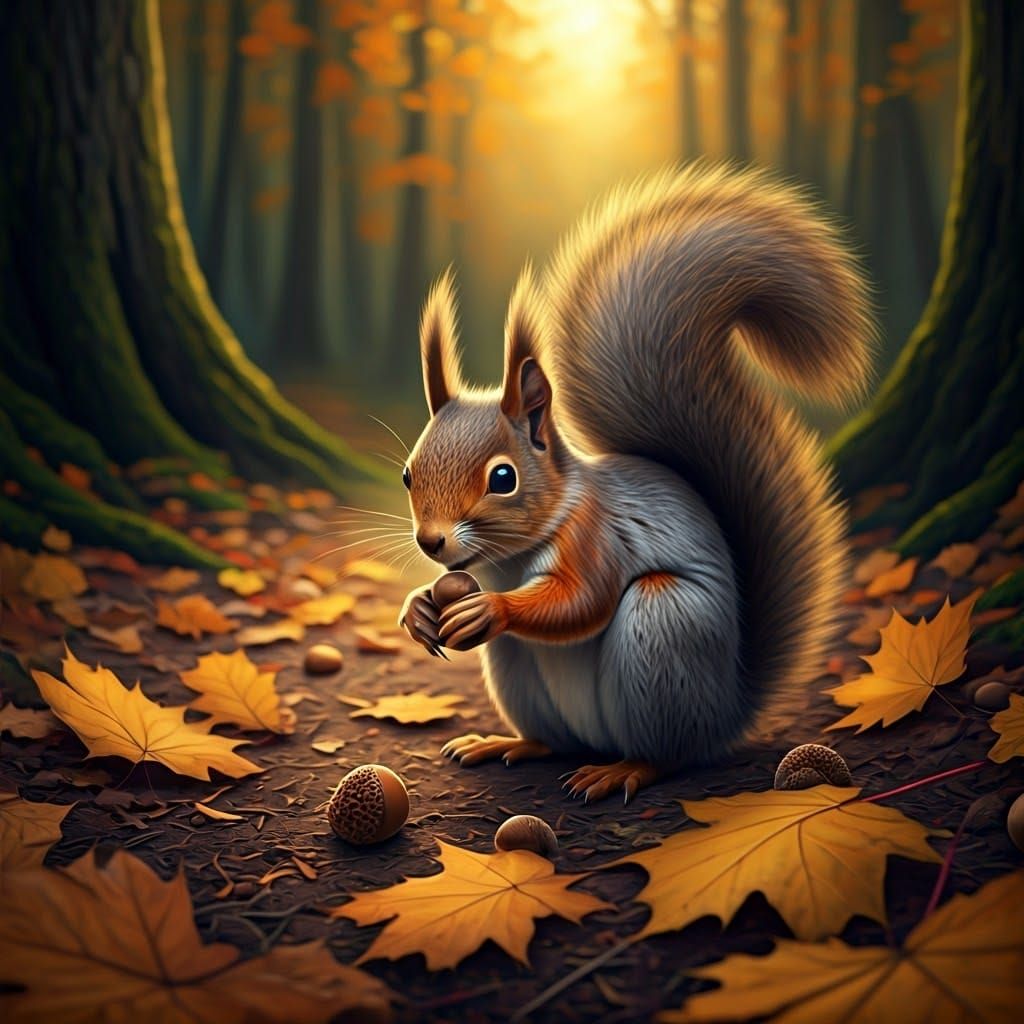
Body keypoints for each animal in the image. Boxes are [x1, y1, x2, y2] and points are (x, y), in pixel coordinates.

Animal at [398, 164, 875, 802]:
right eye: (408, 473)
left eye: (503, 477)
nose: (431, 541)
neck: (516, 551)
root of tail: (727, 710)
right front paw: (418, 609)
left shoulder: (596, 535)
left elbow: (582, 600)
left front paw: (489, 608)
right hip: (518, 672)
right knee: (556, 740)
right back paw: (509, 743)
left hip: (663, 626)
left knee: (668, 754)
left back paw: (623, 770)